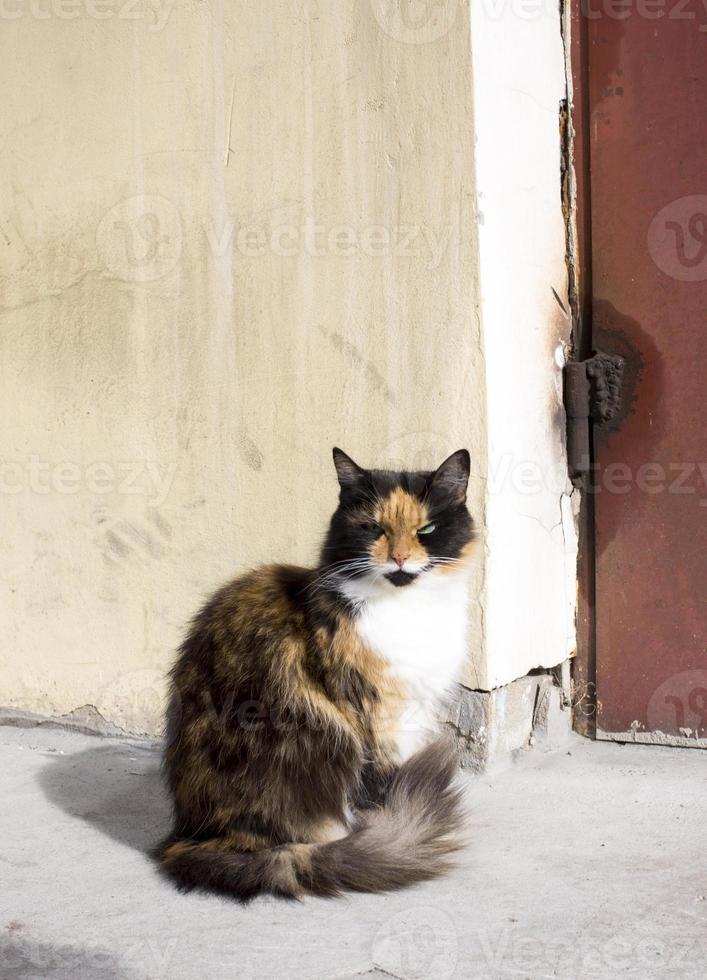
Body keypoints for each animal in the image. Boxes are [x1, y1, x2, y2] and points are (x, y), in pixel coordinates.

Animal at [155, 448, 476, 900]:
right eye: (373, 528)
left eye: (427, 528)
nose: (399, 558)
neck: (409, 609)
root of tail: (195, 837)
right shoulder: (379, 716)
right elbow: (381, 785)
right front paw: (390, 818)